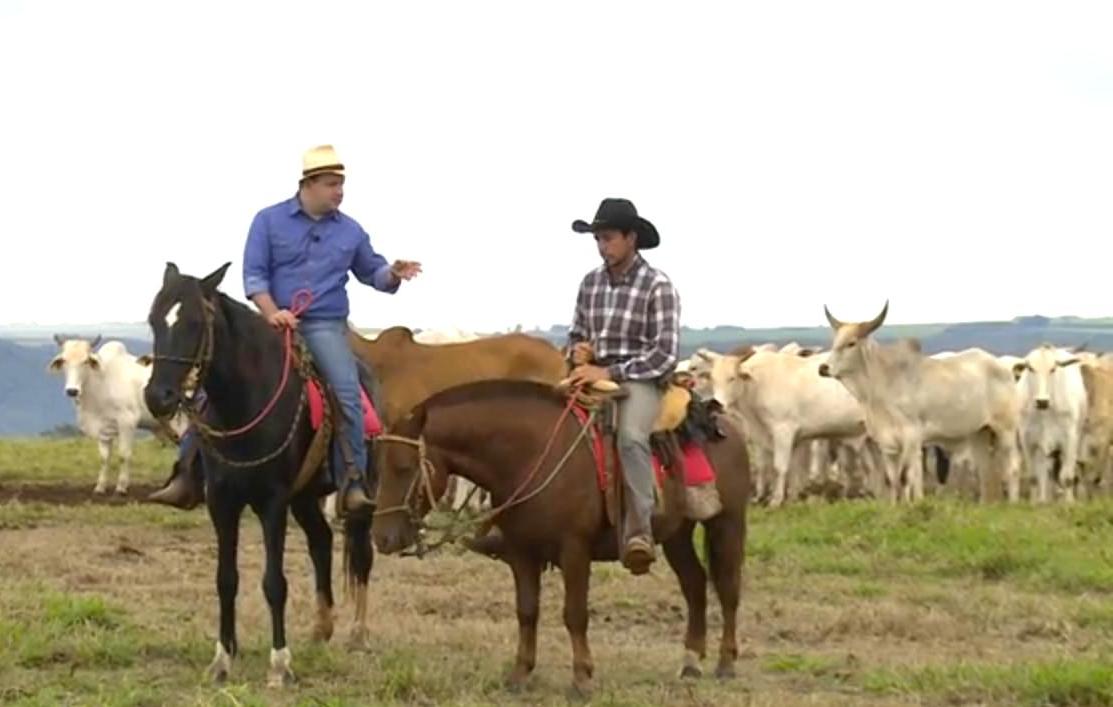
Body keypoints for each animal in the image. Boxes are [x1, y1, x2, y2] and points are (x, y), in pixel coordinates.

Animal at [47, 338, 186, 494]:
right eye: (64, 360)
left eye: (86, 361)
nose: (72, 390)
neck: (102, 383)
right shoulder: (103, 429)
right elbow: (104, 458)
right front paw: (100, 487)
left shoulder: (127, 423)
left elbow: (124, 455)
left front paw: (121, 487)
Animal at [143, 262, 376, 690]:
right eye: (154, 319)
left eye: (196, 322)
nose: (158, 397)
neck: (243, 401)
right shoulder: (222, 501)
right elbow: (225, 579)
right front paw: (222, 658)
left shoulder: (272, 503)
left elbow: (274, 582)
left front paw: (280, 665)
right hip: (305, 497)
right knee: (321, 541)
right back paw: (321, 628)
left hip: (361, 496)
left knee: (362, 556)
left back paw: (358, 634)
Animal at [371, 380, 747, 699]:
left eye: (404, 467)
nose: (382, 538)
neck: (531, 454)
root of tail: (725, 424)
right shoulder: (521, 552)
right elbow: (526, 611)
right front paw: (520, 674)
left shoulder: (574, 550)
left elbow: (574, 614)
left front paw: (582, 679)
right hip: (676, 534)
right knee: (695, 585)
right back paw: (691, 662)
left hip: (727, 523)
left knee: (728, 590)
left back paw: (726, 663)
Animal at [823, 305, 1019, 503]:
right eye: (835, 341)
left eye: (851, 343)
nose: (823, 368)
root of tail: (1003, 367)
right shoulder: (887, 444)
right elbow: (891, 480)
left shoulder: (912, 439)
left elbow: (906, 478)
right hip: (979, 433)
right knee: (985, 471)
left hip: (1006, 429)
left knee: (1012, 467)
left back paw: (1013, 502)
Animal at [1015, 345, 1081, 503]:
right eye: (1030, 368)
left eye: (1053, 369)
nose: (1042, 401)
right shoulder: (1028, 441)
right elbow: (1034, 477)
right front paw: (1034, 503)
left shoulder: (1070, 439)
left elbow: (1067, 478)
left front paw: (1069, 503)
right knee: (1047, 474)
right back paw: (1045, 500)